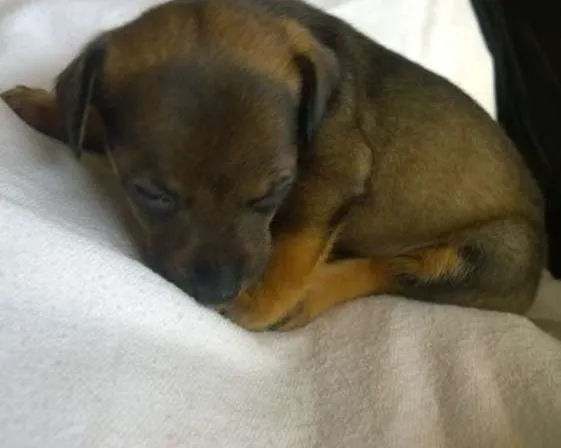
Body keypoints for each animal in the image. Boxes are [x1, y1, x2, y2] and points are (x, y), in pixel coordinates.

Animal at [0, 0, 546, 331]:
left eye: (270, 194)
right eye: (152, 195)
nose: (216, 289)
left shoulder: (335, 172)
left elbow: (294, 242)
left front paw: (259, 302)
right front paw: (49, 108)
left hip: (495, 253)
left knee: (391, 270)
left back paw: (310, 295)